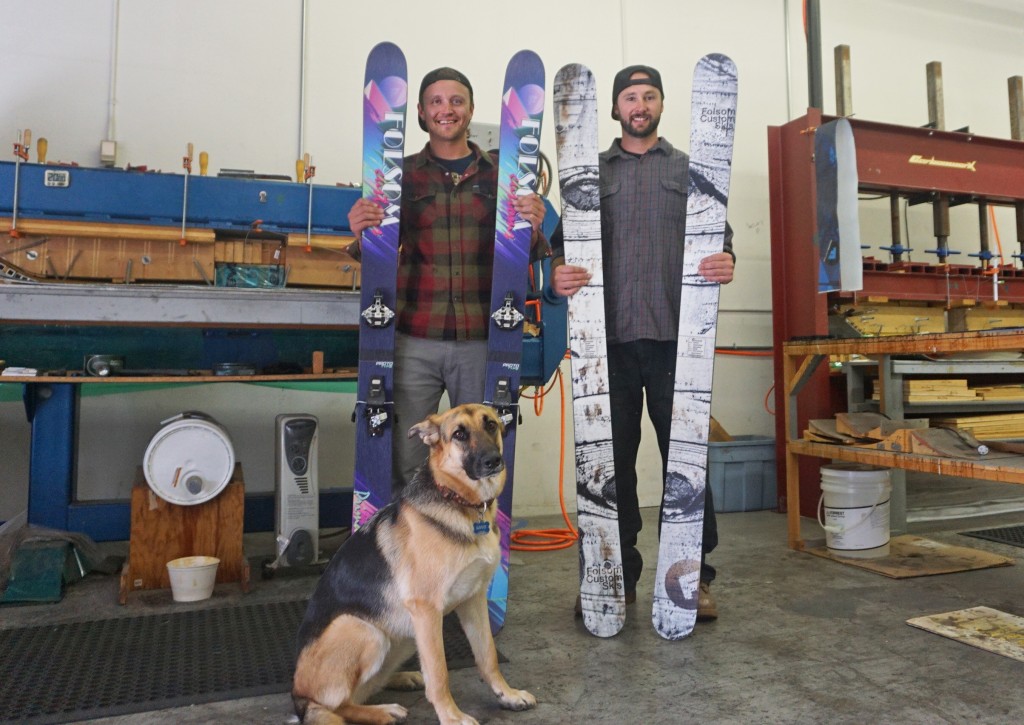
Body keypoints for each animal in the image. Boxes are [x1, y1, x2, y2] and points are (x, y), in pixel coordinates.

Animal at [292, 405, 536, 720]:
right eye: (459, 434)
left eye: (491, 425)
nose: (493, 461)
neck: (458, 502)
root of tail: (298, 696)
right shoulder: (427, 610)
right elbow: (439, 672)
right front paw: (452, 717)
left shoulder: (474, 600)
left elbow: (487, 656)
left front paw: (507, 694)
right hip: (366, 630)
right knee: (335, 705)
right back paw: (383, 712)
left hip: (404, 638)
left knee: (364, 689)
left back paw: (401, 678)